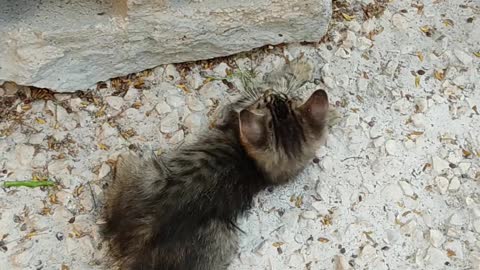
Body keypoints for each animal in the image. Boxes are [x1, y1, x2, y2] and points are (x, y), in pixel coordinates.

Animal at [104, 59, 330, 270]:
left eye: (266, 101)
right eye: (284, 100)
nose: (270, 95)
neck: (253, 166)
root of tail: (137, 245)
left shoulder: (238, 108)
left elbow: (273, 81)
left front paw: (299, 68)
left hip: (153, 178)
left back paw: (120, 160)